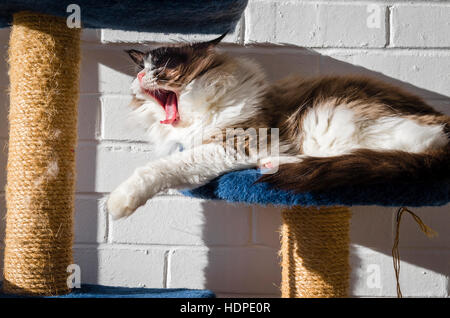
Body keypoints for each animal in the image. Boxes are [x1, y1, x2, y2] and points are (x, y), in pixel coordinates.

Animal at [104, 33, 446, 220]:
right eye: (140, 67)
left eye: (161, 67)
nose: (139, 77)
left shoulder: (237, 142)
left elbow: (162, 167)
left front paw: (118, 202)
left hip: (331, 116)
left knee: (400, 147)